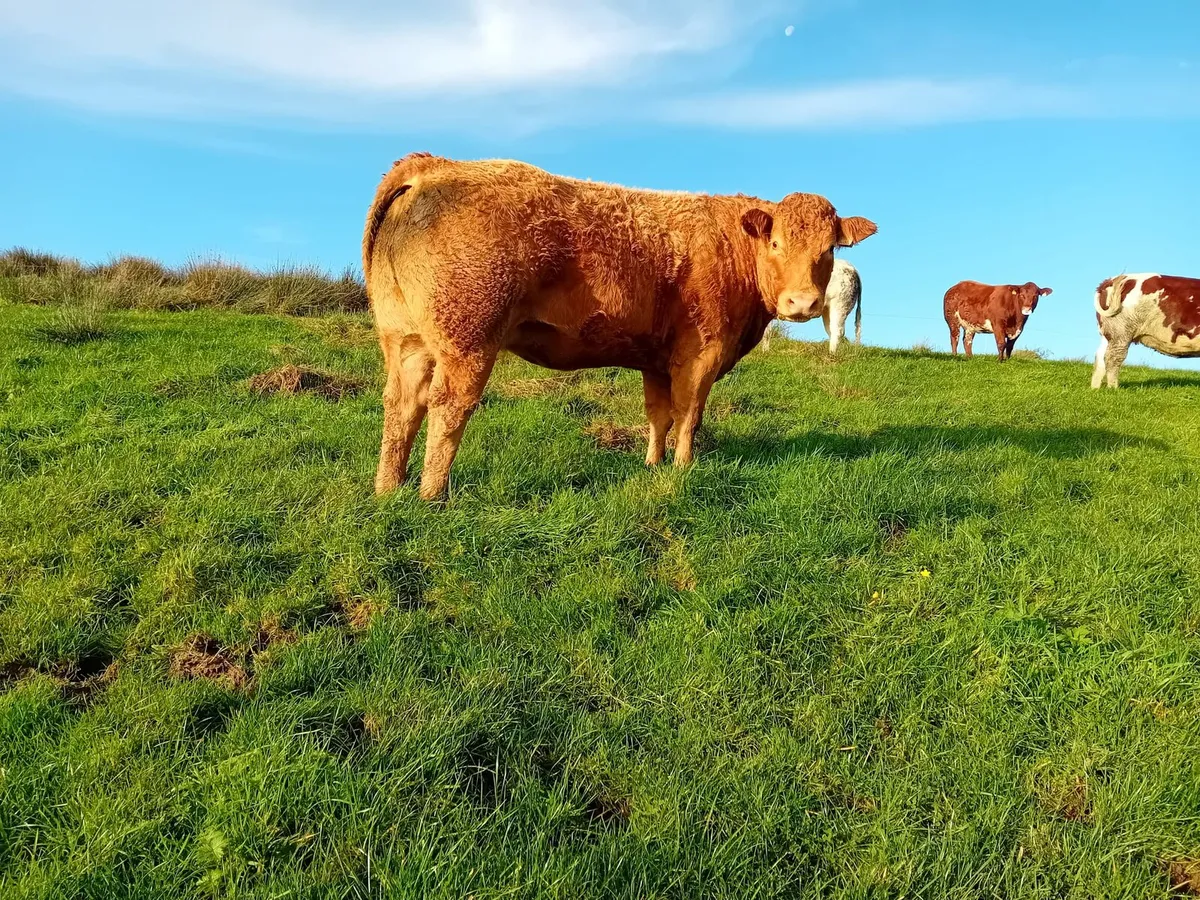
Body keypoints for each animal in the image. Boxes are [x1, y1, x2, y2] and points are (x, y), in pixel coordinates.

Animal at [363, 153, 878, 499]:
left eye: (829, 250)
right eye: (775, 242)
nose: (803, 302)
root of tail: (435, 164)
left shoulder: (656, 359)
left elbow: (659, 415)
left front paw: (652, 465)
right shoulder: (701, 353)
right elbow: (689, 415)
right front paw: (682, 470)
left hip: (406, 338)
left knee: (401, 404)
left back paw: (390, 490)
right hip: (467, 340)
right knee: (449, 407)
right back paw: (433, 496)